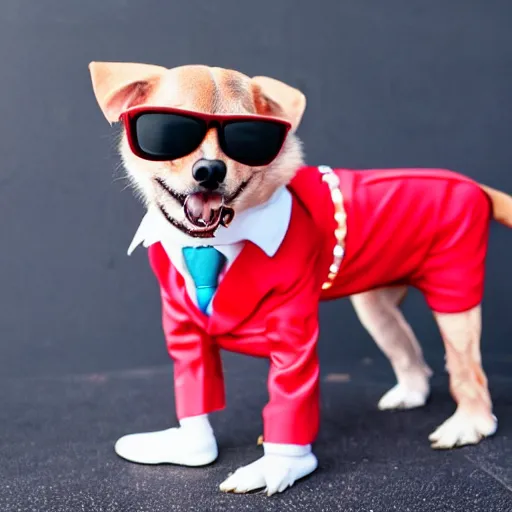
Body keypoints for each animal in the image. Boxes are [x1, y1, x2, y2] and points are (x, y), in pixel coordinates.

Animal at [88, 61, 512, 496]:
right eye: (167, 132)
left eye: (249, 136)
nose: (209, 170)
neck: (213, 241)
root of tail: (469, 184)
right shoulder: (184, 328)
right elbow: (195, 383)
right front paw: (191, 445)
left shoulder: (293, 335)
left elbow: (290, 398)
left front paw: (276, 466)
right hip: (375, 305)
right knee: (408, 350)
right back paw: (411, 392)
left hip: (454, 297)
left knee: (468, 371)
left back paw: (470, 423)